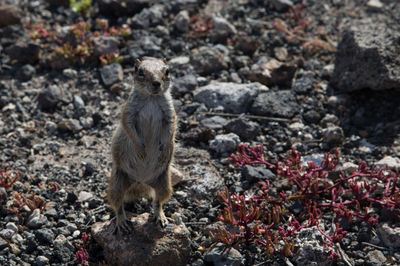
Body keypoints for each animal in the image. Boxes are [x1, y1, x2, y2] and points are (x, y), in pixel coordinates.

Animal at [107, 57, 176, 234]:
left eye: (167, 71)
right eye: (140, 71)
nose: (156, 83)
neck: (151, 98)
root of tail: (141, 182)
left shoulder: (170, 113)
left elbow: (172, 128)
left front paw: (164, 150)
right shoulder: (129, 111)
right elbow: (128, 126)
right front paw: (140, 151)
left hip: (164, 184)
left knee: (158, 201)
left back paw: (160, 217)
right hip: (117, 183)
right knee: (117, 205)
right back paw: (122, 222)